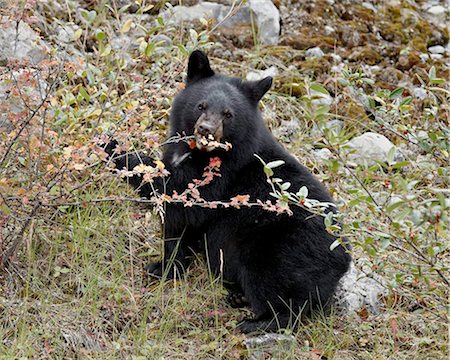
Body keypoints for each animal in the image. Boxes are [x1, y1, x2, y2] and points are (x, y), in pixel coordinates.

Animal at [108, 50, 352, 332]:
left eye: (228, 114)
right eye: (201, 106)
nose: (206, 129)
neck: (200, 154)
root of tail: (343, 261)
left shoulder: (220, 179)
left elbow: (178, 197)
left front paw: (113, 148)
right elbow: (178, 230)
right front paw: (163, 268)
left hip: (281, 250)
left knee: (283, 293)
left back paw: (257, 322)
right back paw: (237, 296)